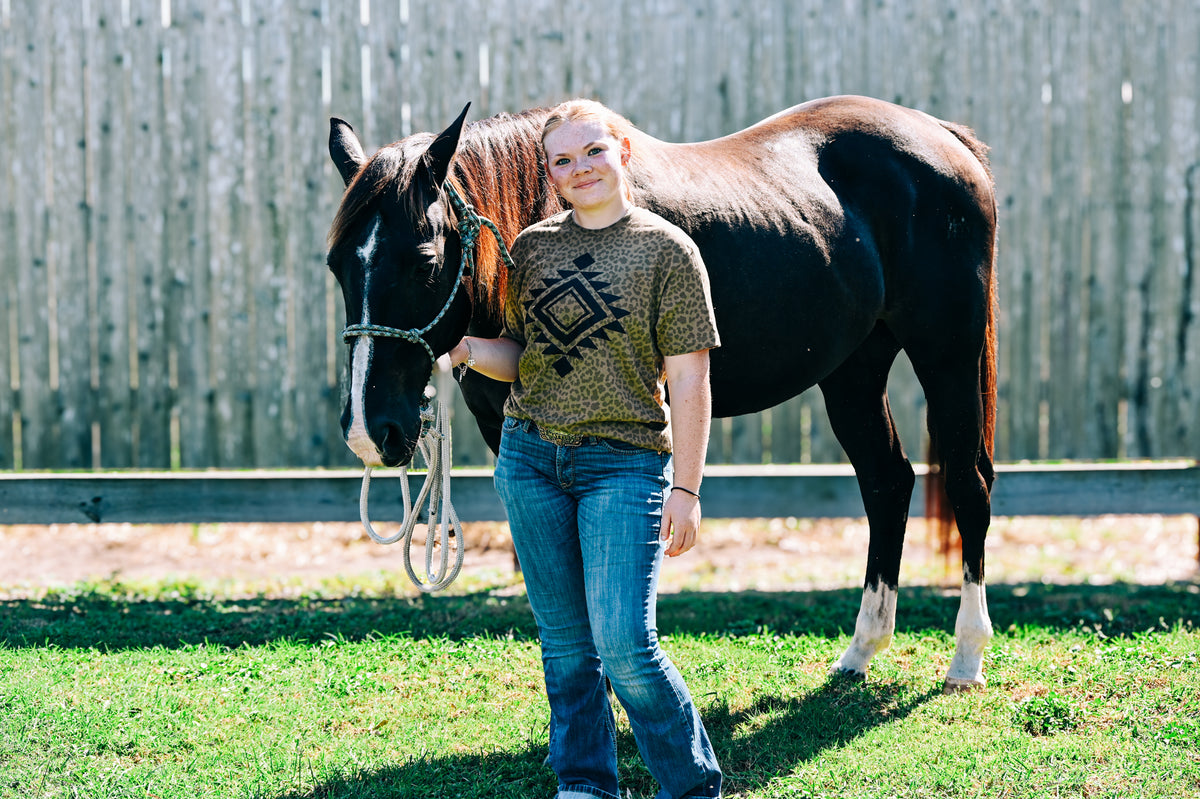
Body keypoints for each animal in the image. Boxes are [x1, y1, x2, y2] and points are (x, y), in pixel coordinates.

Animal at [324, 95, 998, 691]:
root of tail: (940, 136)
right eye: (336, 265)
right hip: (854, 369)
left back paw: (965, 659)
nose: (367, 432)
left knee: (968, 485)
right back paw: (861, 651)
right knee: (887, 482)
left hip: (948, 352)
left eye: (423, 261)